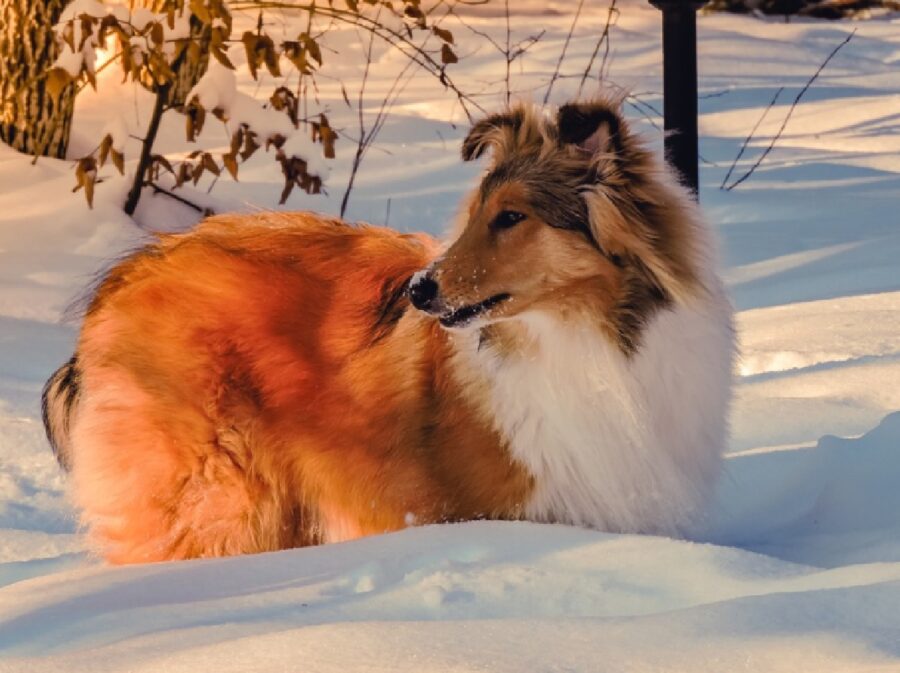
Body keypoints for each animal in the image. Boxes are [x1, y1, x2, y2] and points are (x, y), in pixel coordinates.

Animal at [42, 98, 736, 560]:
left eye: (512, 216)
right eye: (479, 212)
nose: (418, 291)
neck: (582, 339)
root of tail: (128, 274)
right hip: (219, 497)